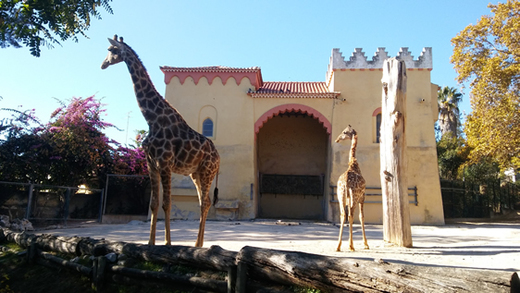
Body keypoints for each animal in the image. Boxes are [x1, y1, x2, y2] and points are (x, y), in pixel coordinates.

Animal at [101, 34, 219, 246]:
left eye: (111, 50)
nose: (103, 64)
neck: (152, 118)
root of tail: (219, 157)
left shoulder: (164, 163)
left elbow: (167, 203)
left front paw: (167, 243)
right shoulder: (151, 164)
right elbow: (154, 204)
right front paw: (150, 243)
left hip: (207, 171)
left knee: (204, 203)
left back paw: (198, 244)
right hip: (196, 173)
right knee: (203, 202)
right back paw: (198, 244)